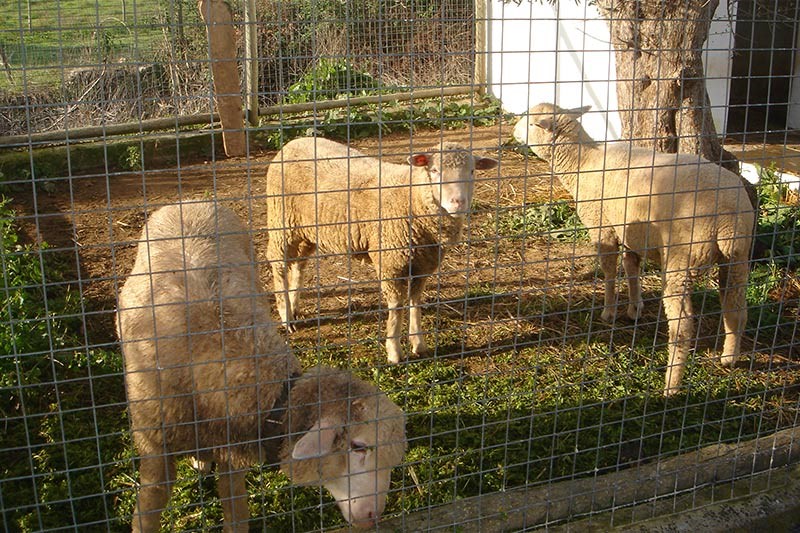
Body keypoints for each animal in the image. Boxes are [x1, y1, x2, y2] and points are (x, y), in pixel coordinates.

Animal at [115, 202, 406, 528]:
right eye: (358, 447)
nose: (372, 516)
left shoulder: (231, 449)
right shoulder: (153, 446)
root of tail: (189, 202)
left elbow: (236, 509)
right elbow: (149, 509)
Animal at [266, 135, 496, 364]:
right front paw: (394, 351)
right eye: (434, 170)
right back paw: (286, 315)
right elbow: (397, 308)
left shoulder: (422, 266)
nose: (458, 202)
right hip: (281, 220)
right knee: (278, 265)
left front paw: (419, 344)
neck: (412, 198)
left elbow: (415, 303)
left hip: (307, 230)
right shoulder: (390, 264)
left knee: (299, 265)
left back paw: (294, 306)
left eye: (472, 171)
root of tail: (294, 141)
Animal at [516, 103, 752, 394]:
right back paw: (729, 358)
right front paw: (634, 308)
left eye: (532, 123)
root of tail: (728, 218)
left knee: (682, 327)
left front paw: (608, 312)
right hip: (738, 257)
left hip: (681, 258)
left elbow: (608, 272)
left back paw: (671, 385)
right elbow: (631, 268)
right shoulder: (631, 230)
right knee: (736, 309)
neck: (583, 163)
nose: (513, 131)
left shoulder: (602, 226)